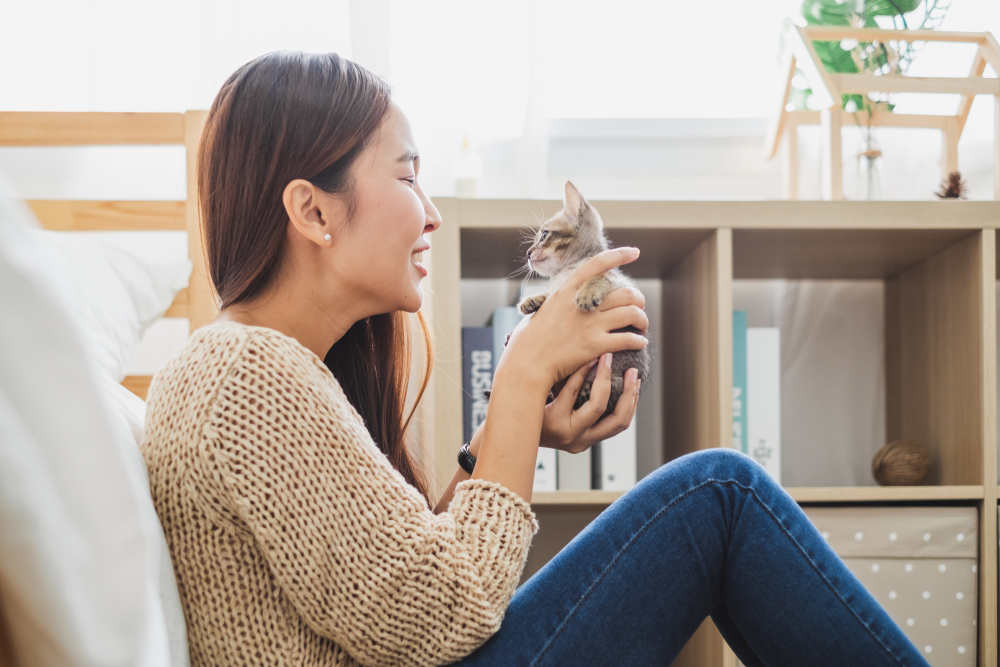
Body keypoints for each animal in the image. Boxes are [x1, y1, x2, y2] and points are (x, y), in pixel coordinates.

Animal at [520, 183, 652, 420]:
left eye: (544, 235)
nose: (527, 253)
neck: (567, 271)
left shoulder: (623, 284)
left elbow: (603, 277)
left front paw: (588, 292)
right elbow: (552, 294)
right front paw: (534, 299)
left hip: (620, 374)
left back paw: (586, 392)